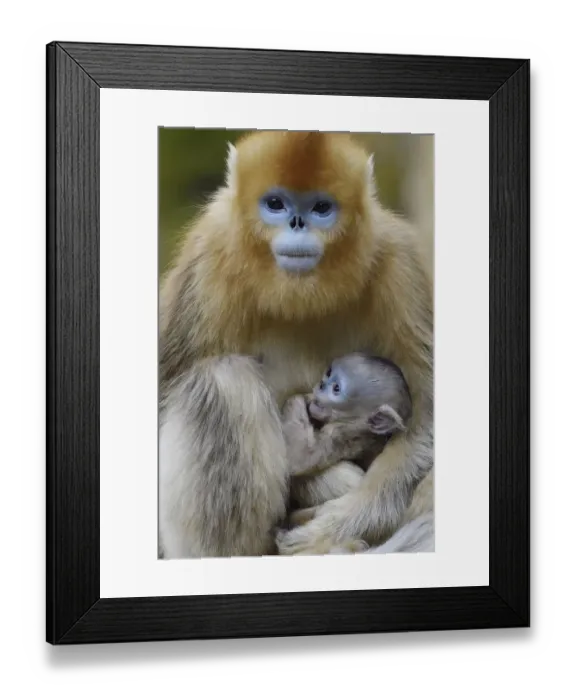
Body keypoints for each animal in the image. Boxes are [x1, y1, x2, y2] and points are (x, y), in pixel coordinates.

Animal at [158, 130, 433, 559]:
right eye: (276, 203)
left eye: (321, 208)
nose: (298, 222)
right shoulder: (209, 258)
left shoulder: (398, 261)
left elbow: (425, 420)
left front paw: (336, 524)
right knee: (223, 380)